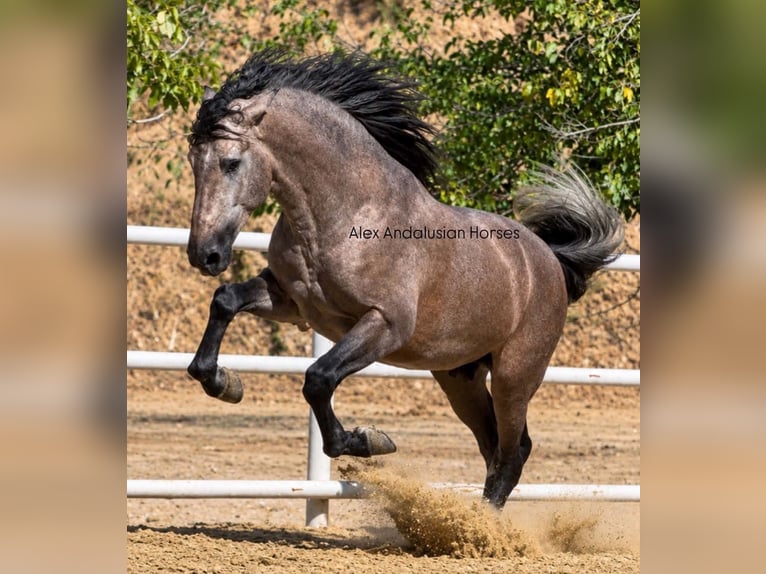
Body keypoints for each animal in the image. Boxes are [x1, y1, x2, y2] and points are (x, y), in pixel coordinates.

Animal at [184, 50, 624, 509]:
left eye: (231, 163)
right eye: (193, 162)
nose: (205, 254)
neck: (346, 215)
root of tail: (550, 261)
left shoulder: (386, 324)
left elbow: (318, 378)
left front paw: (369, 441)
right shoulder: (295, 303)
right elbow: (225, 300)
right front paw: (224, 383)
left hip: (515, 375)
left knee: (513, 451)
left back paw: (479, 523)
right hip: (460, 377)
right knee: (493, 448)